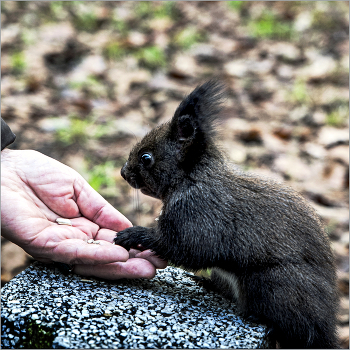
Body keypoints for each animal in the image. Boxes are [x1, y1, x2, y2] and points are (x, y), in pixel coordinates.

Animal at [115, 80, 340, 348]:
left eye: (146, 157)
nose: (123, 172)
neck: (192, 179)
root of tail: (325, 327)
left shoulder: (198, 214)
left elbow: (184, 247)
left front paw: (132, 234)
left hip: (271, 285)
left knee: (293, 326)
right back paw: (207, 283)